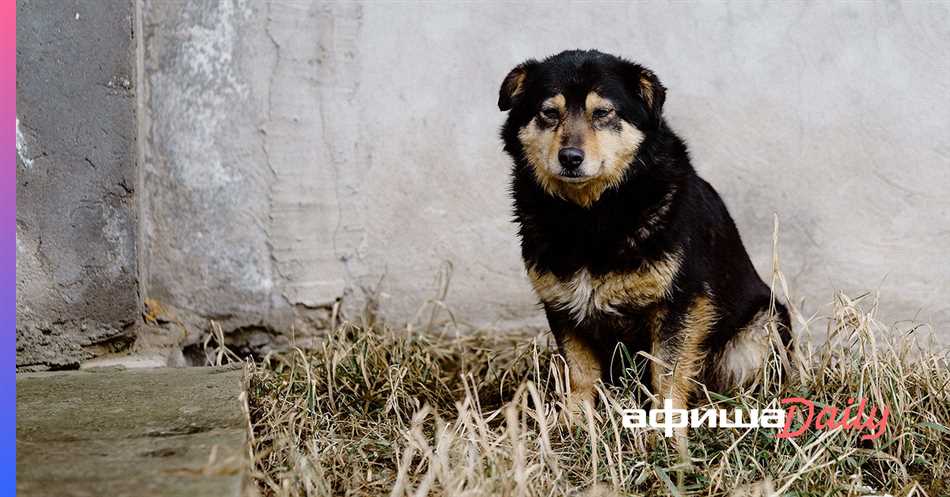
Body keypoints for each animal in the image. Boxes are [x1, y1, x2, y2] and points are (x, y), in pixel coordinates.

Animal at [498, 51, 796, 414]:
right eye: (549, 113)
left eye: (602, 113)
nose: (570, 158)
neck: (590, 215)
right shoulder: (563, 306)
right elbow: (580, 375)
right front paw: (576, 423)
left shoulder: (680, 304)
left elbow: (667, 375)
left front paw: (667, 428)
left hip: (761, 327)